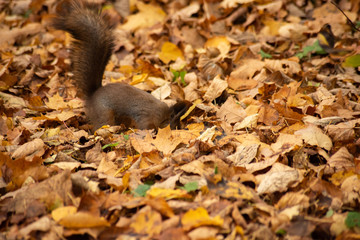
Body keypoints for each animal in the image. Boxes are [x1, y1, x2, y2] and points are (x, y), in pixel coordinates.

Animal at [53, 0, 190, 131]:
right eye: (176, 126)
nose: (182, 129)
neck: (163, 115)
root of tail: (93, 95)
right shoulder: (147, 117)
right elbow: (146, 126)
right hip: (104, 114)